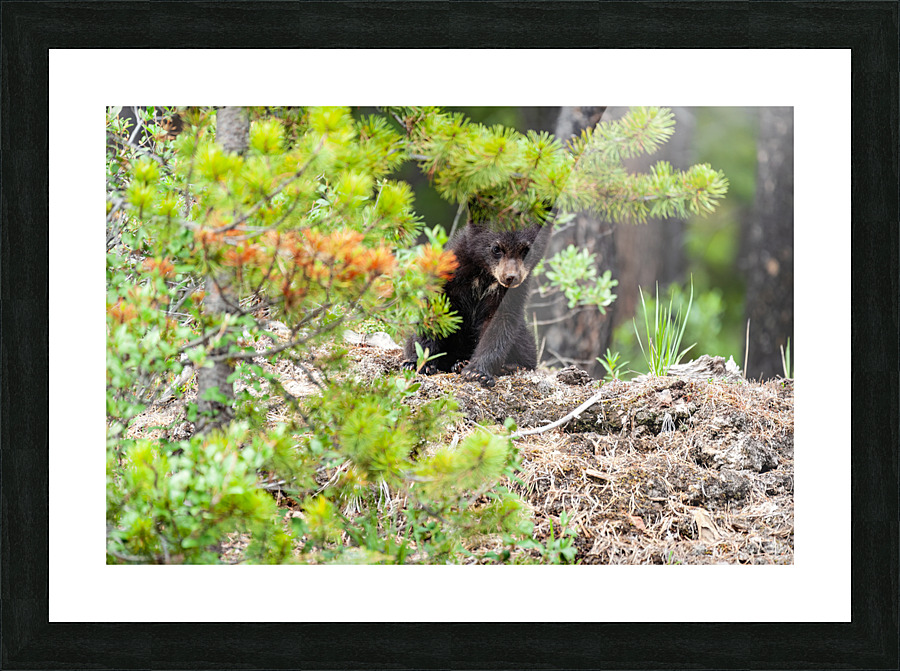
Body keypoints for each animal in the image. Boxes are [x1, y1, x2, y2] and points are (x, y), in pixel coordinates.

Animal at [402, 217, 547, 387]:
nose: (510, 277)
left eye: (525, 250)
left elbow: (500, 325)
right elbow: (434, 311)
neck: (484, 276)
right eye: (496, 248)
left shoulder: (510, 296)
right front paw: (417, 363)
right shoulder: (450, 276)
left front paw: (478, 373)